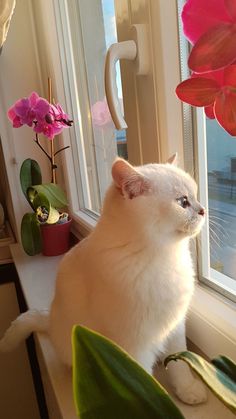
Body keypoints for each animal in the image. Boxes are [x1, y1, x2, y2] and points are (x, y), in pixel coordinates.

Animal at [0, 156, 206, 406]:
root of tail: (50, 319)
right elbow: (143, 383)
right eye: (183, 202)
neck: (163, 256)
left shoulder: (174, 327)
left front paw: (187, 391)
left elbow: (179, 365)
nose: (203, 210)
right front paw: (155, 405)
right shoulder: (134, 344)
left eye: (195, 195)